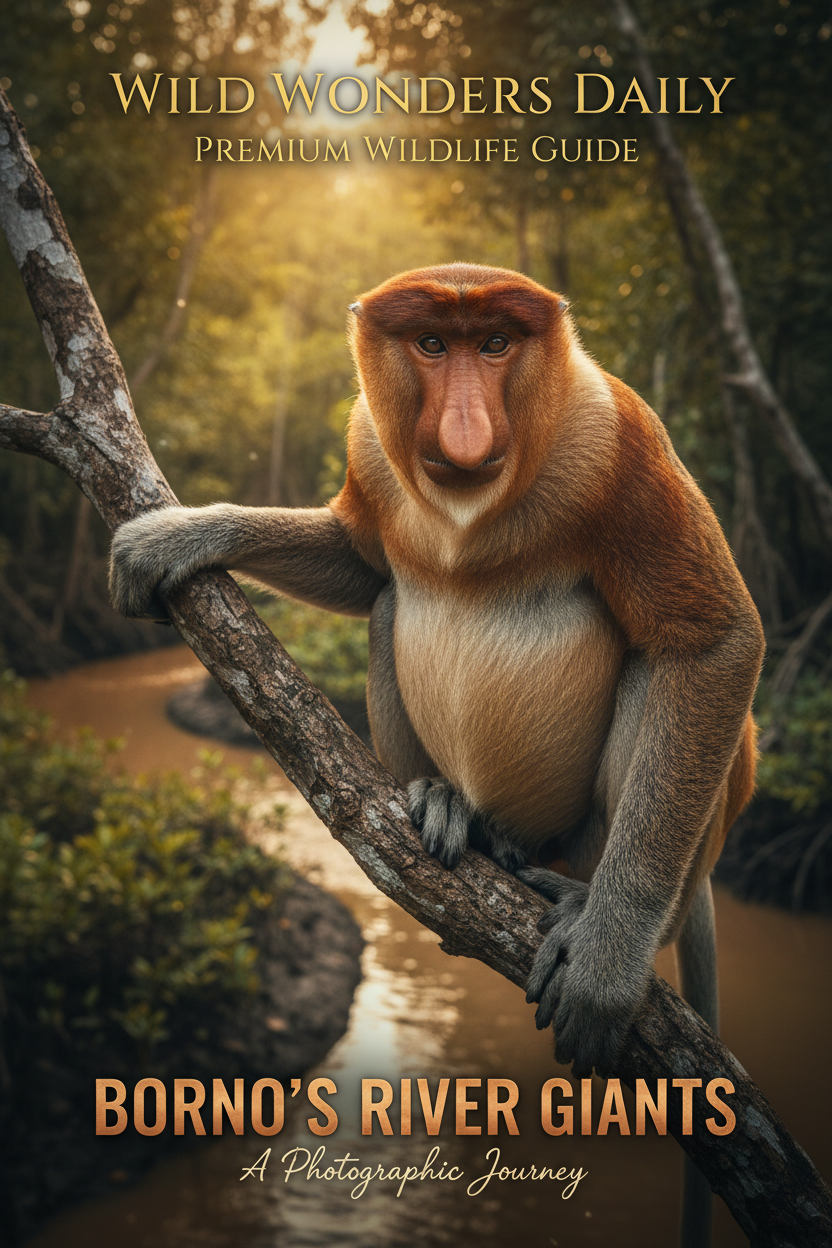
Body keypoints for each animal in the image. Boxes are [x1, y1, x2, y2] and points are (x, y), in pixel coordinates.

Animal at [109, 263, 763, 1246]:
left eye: (494, 345)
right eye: (431, 345)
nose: (463, 426)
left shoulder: (618, 439)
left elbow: (715, 643)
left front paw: (609, 964)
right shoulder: (372, 445)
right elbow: (360, 561)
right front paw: (182, 535)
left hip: (606, 832)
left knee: (660, 667)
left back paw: (581, 897)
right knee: (389, 597)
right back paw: (448, 805)